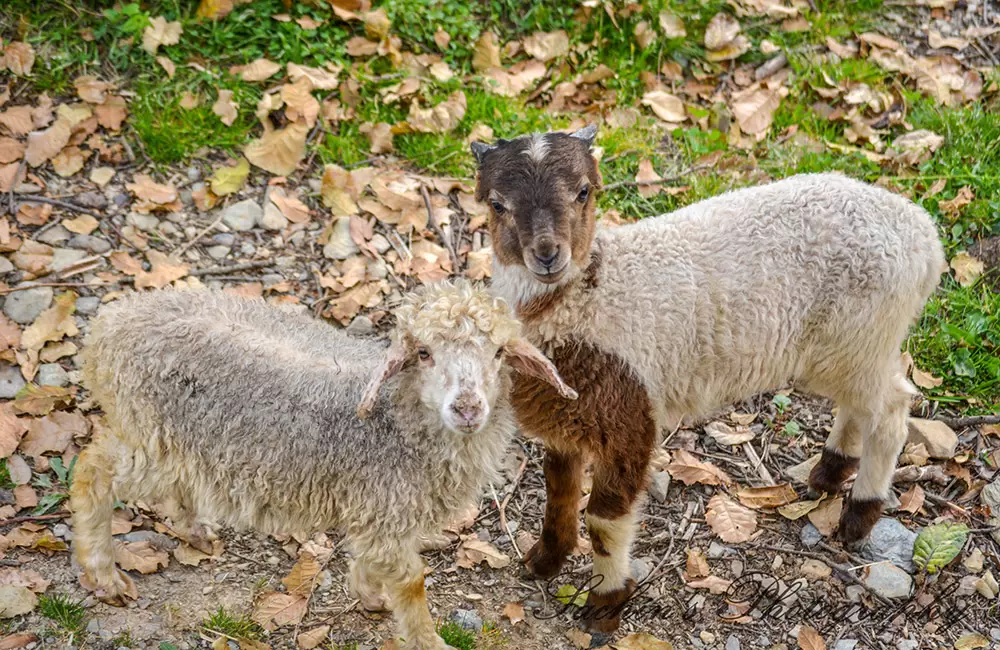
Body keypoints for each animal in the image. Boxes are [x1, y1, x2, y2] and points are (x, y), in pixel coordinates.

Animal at [70, 280, 576, 648]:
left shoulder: (380, 510)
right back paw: (103, 572)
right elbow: (411, 582)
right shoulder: (385, 508)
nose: (468, 408)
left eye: (498, 353)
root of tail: (108, 325)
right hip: (147, 433)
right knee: (91, 470)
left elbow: (374, 560)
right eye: (424, 353)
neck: (397, 420)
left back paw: (193, 529)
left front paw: (370, 595)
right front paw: (429, 640)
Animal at [472, 125, 940, 632]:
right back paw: (831, 470)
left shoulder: (629, 415)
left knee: (892, 407)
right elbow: (558, 493)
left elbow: (603, 521)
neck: (588, 296)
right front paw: (544, 561)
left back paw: (859, 513)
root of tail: (921, 232)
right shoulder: (564, 418)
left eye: (583, 192)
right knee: (862, 402)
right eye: (497, 203)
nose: (546, 255)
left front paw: (605, 605)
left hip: (861, 331)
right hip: (853, 345)